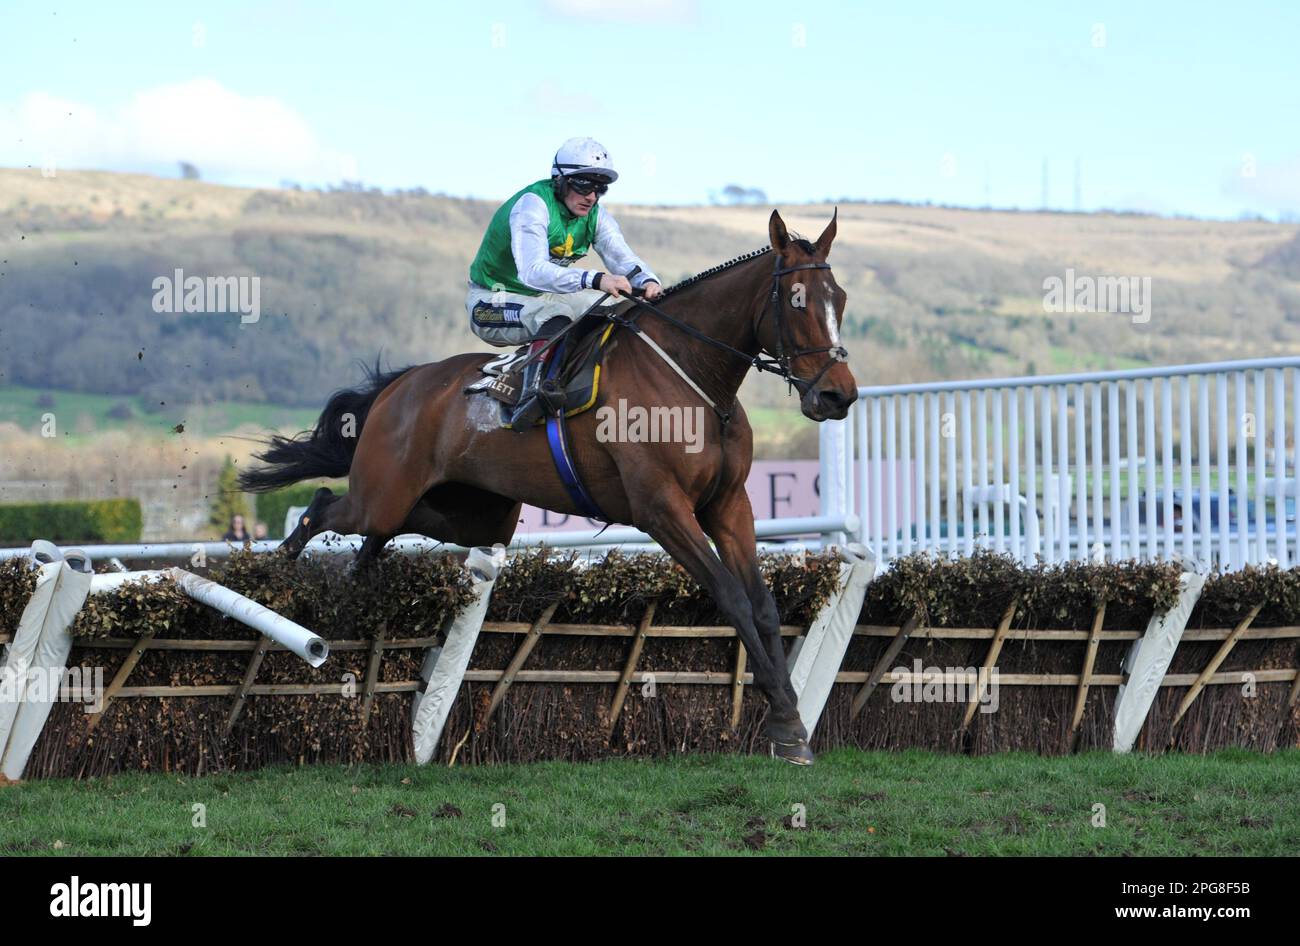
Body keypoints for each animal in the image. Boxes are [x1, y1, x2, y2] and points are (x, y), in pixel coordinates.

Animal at [239, 210, 857, 764]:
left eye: (841, 298)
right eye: (797, 301)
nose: (838, 395)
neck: (694, 380)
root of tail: (402, 385)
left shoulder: (728, 505)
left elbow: (763, 606)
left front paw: (790, 722)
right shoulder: (661, 508)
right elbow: (731, 597)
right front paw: (785, 724)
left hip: (470, 513)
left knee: (373, 536)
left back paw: (354, 586)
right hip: (387, 493)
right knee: (324, 508)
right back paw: (276, 577)